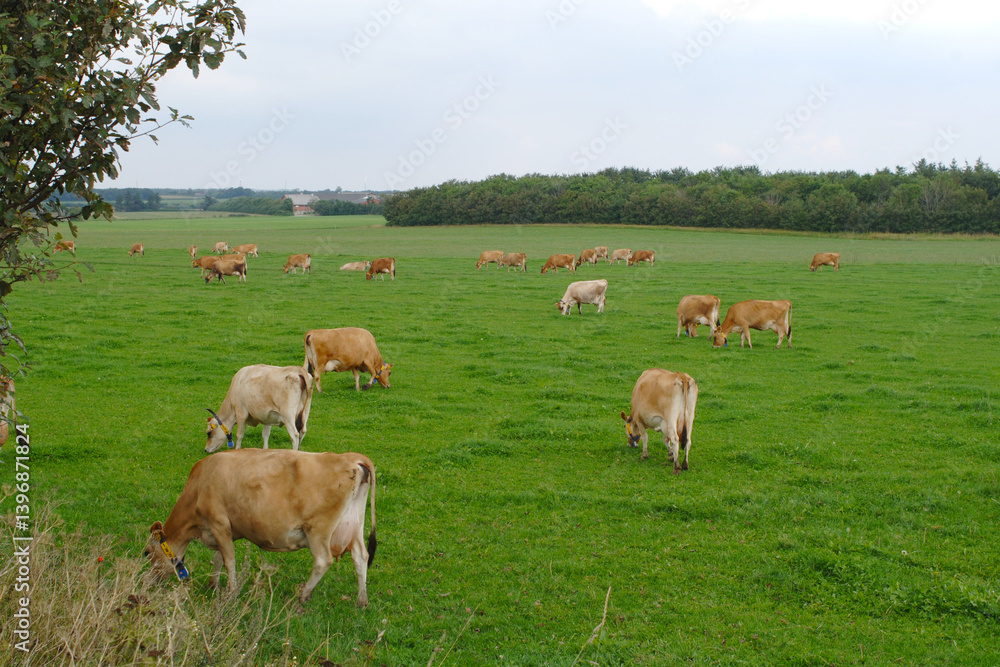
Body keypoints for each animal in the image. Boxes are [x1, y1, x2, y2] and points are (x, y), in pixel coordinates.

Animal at [145, 449, 376, 606]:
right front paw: (213, 584)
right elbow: (218, 557)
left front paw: (231, 592)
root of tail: (351, 457)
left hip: (318, 529)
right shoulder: (224, 529)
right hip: (355, 524)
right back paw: (362, 600)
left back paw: (302, 596)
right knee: (361, 557)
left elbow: (228, 560)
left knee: (323, 561)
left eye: (146, 552)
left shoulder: (219, 523)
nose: (147, 582)